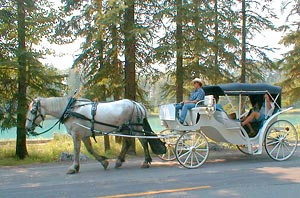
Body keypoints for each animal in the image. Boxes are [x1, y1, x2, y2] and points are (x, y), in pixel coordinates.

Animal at [25, 96, 166, 174]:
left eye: (33, 110)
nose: (27, 127)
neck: (70, 110)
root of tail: (137, 104)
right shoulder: (84, 135)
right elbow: (90, 150)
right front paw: (104, 162)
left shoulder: (76, 134)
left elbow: (76, 151)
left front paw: (73, 168)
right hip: (125, 129)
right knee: (127, 143)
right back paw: (119, 161)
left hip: (136, 128)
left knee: (143, 141)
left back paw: (146, 161)